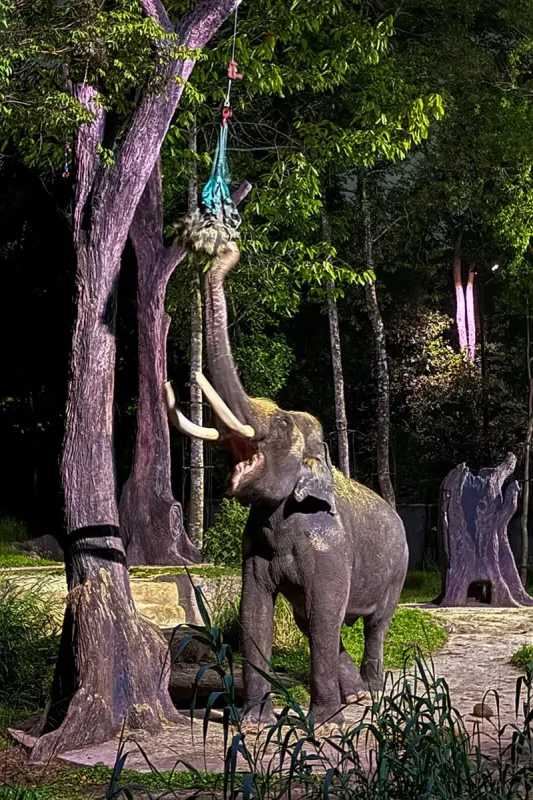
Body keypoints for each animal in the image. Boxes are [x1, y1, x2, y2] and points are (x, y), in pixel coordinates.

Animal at [165, 243, 408, 727]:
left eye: (278, 423)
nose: (227, 249)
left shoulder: (329, 543)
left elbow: (323, 613)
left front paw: (320, 722)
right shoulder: (254, 547)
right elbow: (256, 611)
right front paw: (252, 720)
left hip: (399, 569)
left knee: (375, 624)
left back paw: (372, 694)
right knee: (312, 621)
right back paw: (355, 696)